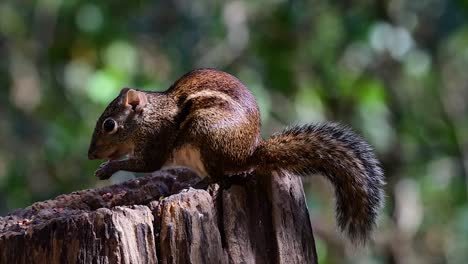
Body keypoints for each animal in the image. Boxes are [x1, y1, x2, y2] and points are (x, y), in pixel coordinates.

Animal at [88, 68, 384, 243]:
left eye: (109, 125)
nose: (91, 154)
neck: (149, 116)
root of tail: (247, 155)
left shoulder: (155, 141)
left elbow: (146, 163)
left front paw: (107, 168)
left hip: (206, 134)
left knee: (221, 177)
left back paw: (199, 183)